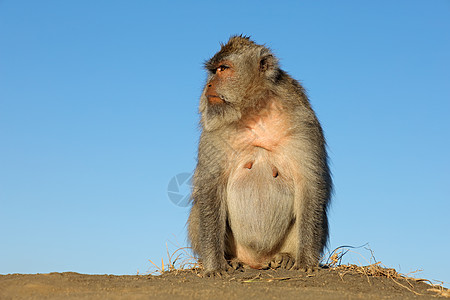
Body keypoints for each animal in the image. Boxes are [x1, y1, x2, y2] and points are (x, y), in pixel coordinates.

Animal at [188, 35, 332, 276]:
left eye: (223, 69)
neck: (255, 112)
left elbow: (311, 185)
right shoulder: (213, 134)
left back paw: (286, 257)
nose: (208, 85)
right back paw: (232, 260)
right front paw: (215, 265)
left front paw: (305, 261)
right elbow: (210, 188)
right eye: (212, 71)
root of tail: (257, 261)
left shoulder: (304, 124)